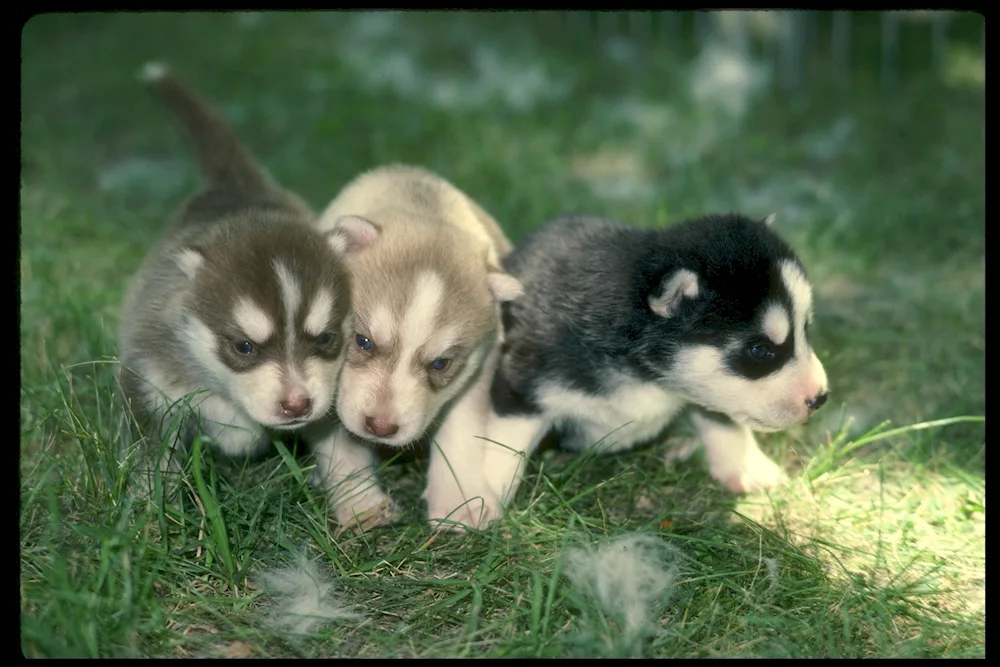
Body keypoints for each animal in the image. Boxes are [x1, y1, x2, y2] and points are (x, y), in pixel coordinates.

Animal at [118, 66, 354, 496]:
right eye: (244, 347)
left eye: (326, 338)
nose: (297, 404)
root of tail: (235, 183)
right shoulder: (149, 384)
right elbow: (151, 458)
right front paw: (149, 504)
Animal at [306, 166, 524, 532]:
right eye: (363, 341)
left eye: (441, 364)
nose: (380, 427)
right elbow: (339, 442)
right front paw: (361, 503)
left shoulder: (481, 364)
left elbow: (461, 425)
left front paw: (460, 502)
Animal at [464, 214, 832, 528]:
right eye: (759, 351)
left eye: (806, 330)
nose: (820, 398)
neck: (643, 375)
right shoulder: (522, 382)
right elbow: (504, 444)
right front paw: (482, 497)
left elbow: (722, 420)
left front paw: (746, 466)